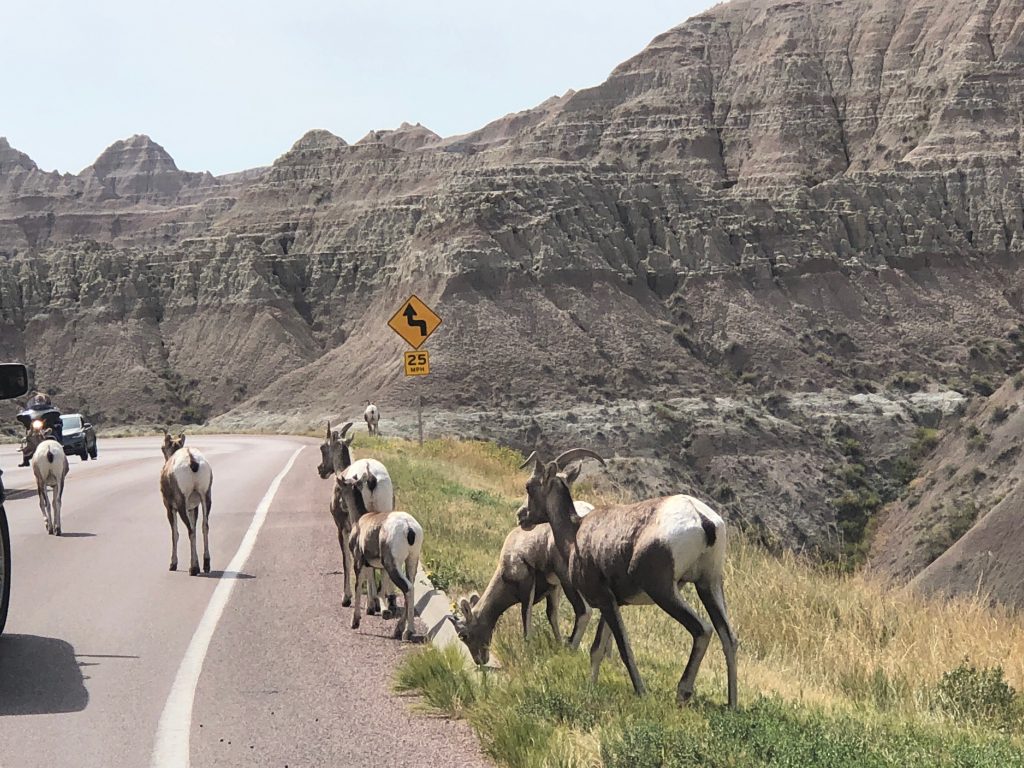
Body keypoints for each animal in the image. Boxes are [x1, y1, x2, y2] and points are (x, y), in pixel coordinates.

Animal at [159, 434, 214, 577]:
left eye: (162, 447)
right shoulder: (193, 507)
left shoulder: (170, 508)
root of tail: (192, 460)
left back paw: (193, 568)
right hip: (206, 497)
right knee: (204, 527)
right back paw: (206, 565)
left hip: (181, 504)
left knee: (190, 531)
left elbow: (175, 534)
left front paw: (173, 564)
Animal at [317, 421, 397, 614]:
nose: (320, 470)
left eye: (323, 447)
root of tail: (372, 477)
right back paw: (387, 600)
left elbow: (346, 559)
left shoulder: (342, 528)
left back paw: (372, 604)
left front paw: (346, 598)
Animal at [454, 462, 593, 667]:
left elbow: (526, 618)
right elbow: (552, 616)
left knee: (584, 611)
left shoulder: (528, 584)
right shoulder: (553, 588)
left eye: (463, 635)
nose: (480, 660)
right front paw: (558, 645)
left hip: (570, 580)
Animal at [520, 450, 737, 708]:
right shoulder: (612, 603)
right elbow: (597, 649)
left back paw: (682, 693)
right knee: (729, 638)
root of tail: (702, 519)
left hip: (664, 592)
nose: (522, 517)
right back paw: (732, 705)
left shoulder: (605, 600)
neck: (575, 534)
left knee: (702, 629)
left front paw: (641, 692)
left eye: (530, 486)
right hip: (709, 585)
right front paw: (591, 688)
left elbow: (623, 647)